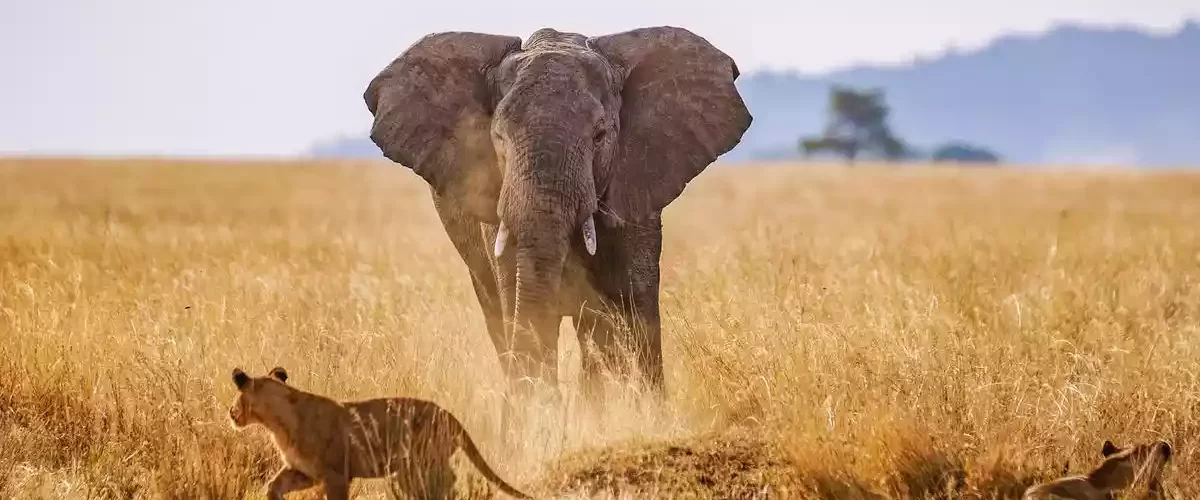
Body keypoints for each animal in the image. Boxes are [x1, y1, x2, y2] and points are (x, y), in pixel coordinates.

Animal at [227, 367, 531, 499]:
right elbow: (273, 486)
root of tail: (452, 416)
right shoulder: (304, 472)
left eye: (237, 398)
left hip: (418, 464)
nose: (230, 412)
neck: (275, 423)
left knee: (445, 485)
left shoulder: (336, 474)